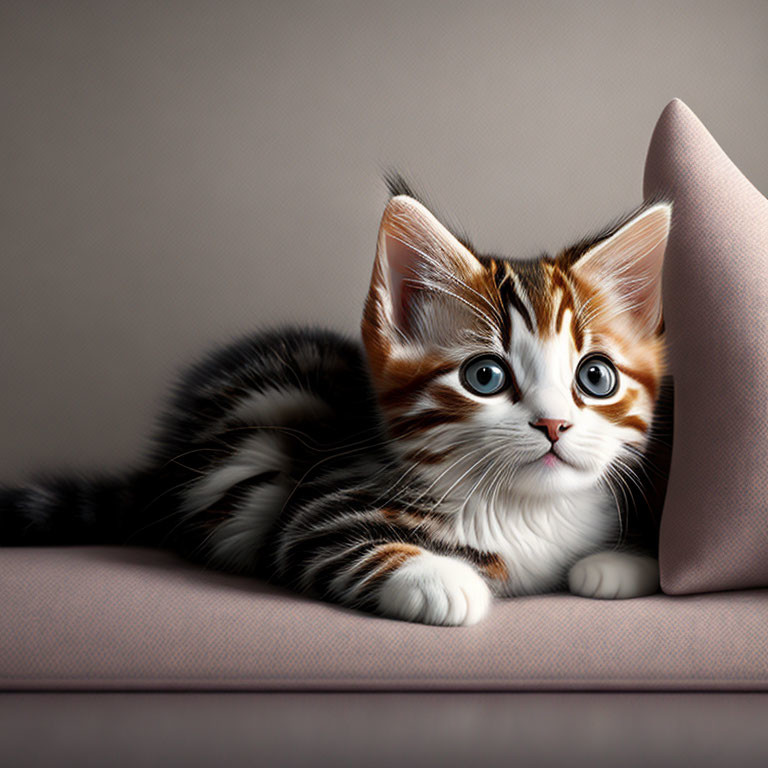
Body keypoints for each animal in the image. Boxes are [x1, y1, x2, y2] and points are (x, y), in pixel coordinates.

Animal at [0, 183, 672, 628]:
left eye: (595, 377)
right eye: (485, 376)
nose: (554, 423)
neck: (525, 510)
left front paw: (621, 565)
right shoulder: (316, 508)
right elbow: (345, 544)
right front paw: (444, 581)